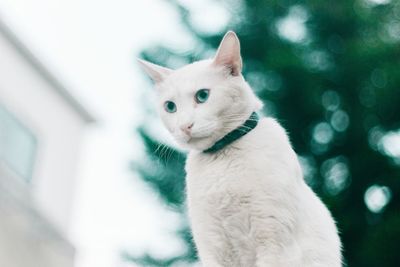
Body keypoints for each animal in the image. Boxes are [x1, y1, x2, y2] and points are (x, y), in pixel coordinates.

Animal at [139, 30, 342, 266]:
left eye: (202, 96)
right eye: (170, 107)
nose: (184, 126)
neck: (221, 159)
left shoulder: (274, 244)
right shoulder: (212, 249)